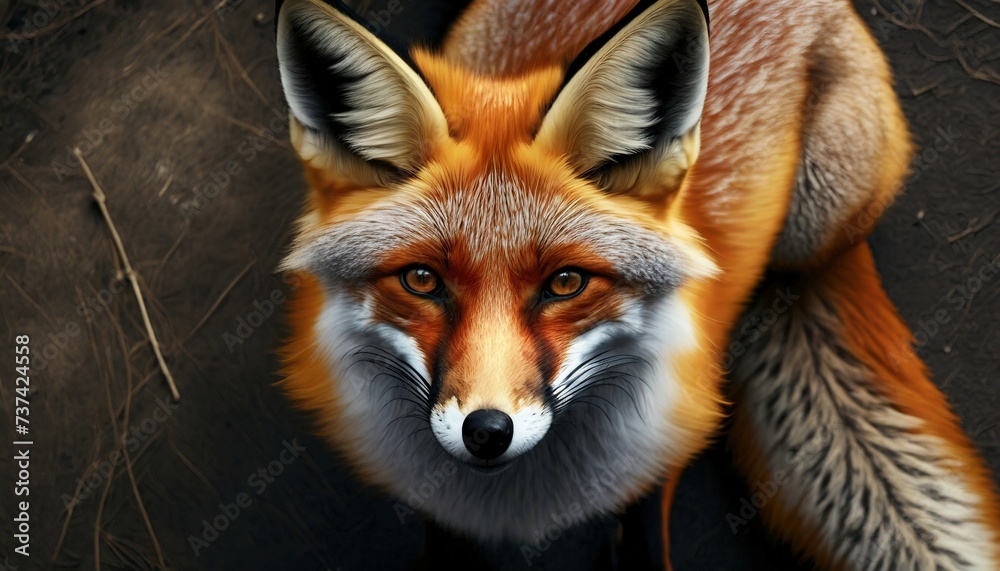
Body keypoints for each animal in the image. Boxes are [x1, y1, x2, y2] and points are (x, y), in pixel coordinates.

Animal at [274, 0, 1000, 568]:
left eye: (566, 282)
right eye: (422, 279)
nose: (487, 431)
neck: (521, 500)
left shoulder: (664, 454)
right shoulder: (433, 503)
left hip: (818, 216)